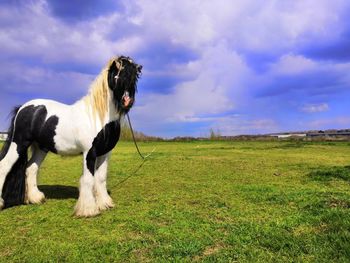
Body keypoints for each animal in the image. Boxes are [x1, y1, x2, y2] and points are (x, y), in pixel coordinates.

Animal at [0, 55, 142, 217]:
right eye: (120, 72)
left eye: (134, 77)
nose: (127, 100)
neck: (98, 116)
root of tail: (23, 108)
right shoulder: (90, 153)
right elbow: (88, 179)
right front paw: (88, 210)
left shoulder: (105, 153)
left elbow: (100, 178)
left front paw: (105, 203)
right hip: (19, 143)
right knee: (4, 167)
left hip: (41, 148)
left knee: (31, 168)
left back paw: (36, 198)